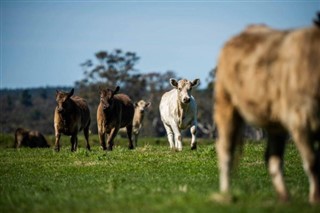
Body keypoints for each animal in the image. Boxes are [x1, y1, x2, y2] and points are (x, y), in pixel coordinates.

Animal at [212, 16, 320, 203]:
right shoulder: (300, 120)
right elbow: (313, 163)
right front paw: (315, 199)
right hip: (226, 105)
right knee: (225, 149)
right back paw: (226, 194)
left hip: (275, 124)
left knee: (272, 158)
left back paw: (284, 197)